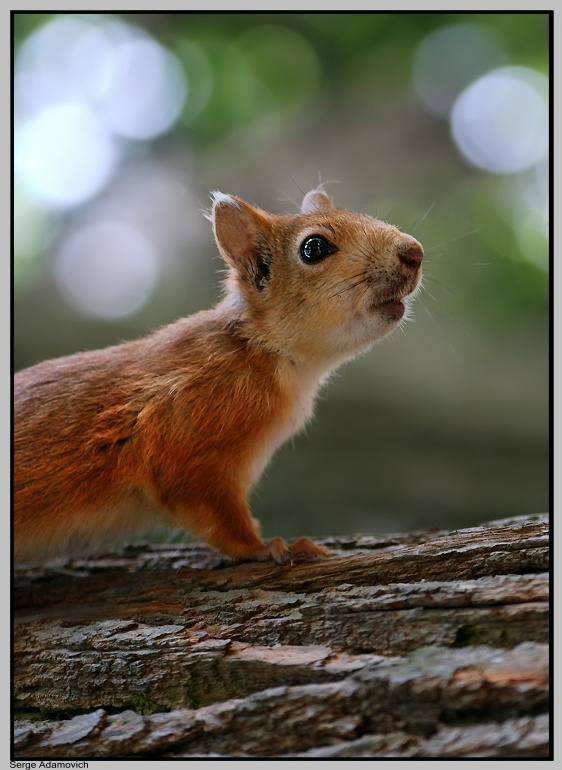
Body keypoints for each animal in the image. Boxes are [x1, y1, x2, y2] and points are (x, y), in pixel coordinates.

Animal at [14, 188, 423, 565]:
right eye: (314, 248)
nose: (415, 252)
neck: (262, 351)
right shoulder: (184, 431)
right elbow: (217, 517)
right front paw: (270, 547)